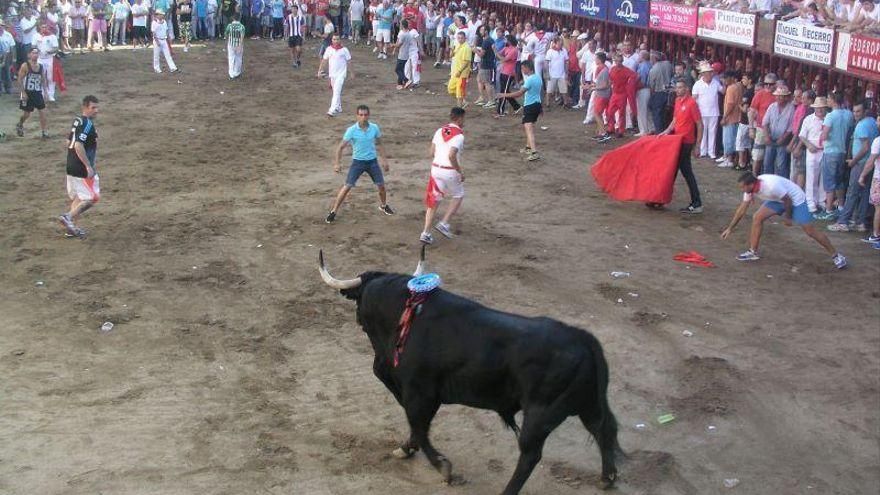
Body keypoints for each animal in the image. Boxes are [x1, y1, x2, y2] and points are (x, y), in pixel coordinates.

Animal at [316, 254, 620, 494]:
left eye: (359, 303)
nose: (379, 365)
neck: (404, 313)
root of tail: (581, 338)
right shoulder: (425, 395)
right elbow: (418, 427)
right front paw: (407, 448)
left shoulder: (419, 392)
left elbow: (419, 426)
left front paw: (443, 466)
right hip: (588, 405)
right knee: (604, 429)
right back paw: (608, 478)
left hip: (540, 414)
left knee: (530, 455)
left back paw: (507, 491)